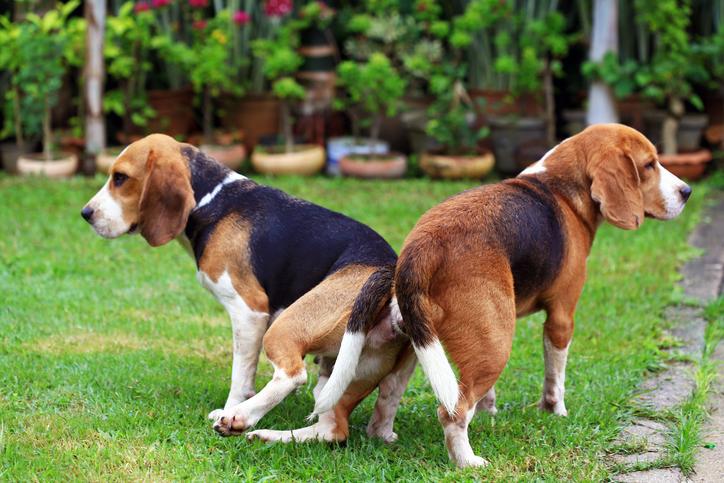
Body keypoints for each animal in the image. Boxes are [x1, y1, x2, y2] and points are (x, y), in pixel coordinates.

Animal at [80, 134, 416, 444]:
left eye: (120, 178)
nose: (86, 213)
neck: (213, 199)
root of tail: (387, 276)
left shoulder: (248, 311)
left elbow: (240, 375)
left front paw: (231, 407)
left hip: (284, 328)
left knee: (293, 376)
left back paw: (240, 418)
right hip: (361, 370)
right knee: (344, 427)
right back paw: (270, 435)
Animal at [384, 125, 684, 468]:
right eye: (649, 165)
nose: (687, 191)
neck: (560, 188)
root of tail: (425, 244)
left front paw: (489, 412)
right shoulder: (561, 318)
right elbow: (556, 376)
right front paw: (555, 411)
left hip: (425, 337)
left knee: (393, 392)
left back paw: (383, 434)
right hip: (496, 344)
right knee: (453, 411)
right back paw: (468, 462)